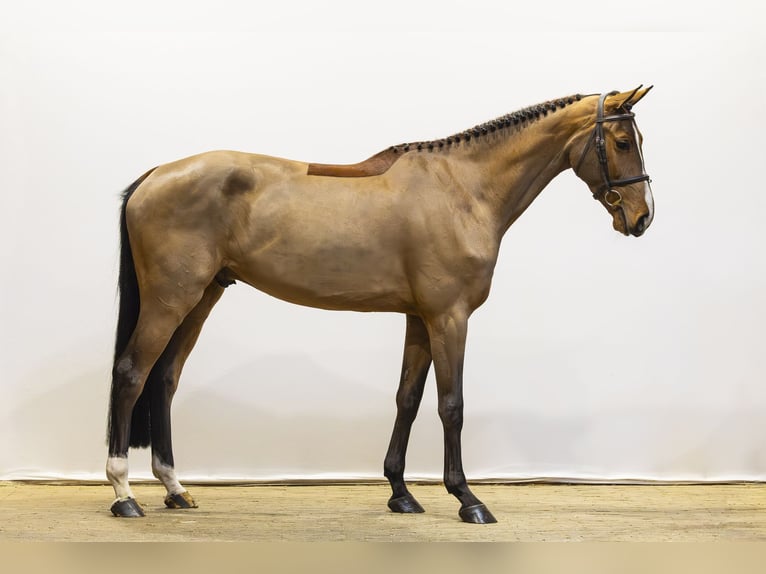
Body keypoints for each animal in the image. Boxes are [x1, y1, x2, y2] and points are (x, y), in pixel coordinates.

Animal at [106, 87, 654, 523]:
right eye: (622, 143)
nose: (642, 217)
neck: (463, 188)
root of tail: (155, 176)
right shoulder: (449, 317)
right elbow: (451, 405)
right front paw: (467, 499)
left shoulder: (419, 318)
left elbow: (407, 399)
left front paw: (400, 494)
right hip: (171, 298)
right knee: (132, 373)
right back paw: (123, 493)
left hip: (202, 297)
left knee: (164, 378)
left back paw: (175, 489)